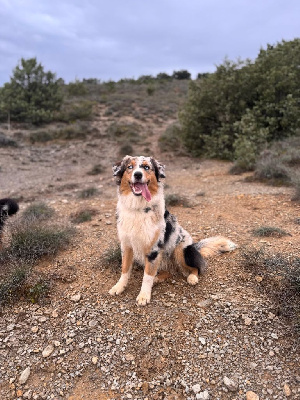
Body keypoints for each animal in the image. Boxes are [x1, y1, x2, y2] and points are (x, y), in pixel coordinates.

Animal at [108, 155, 237, 304]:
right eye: (130, 167)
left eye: (146, 167)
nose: (138, 174)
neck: (138, 208)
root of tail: (194, 246)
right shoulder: (126, 245)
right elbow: (125, 269)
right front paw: (119, 287)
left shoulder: (153, 249)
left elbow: (147, 275)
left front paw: (144, 295)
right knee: (165, 271)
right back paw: (157, 279)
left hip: (180, 251)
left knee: (195, 268)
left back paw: (192, 277)